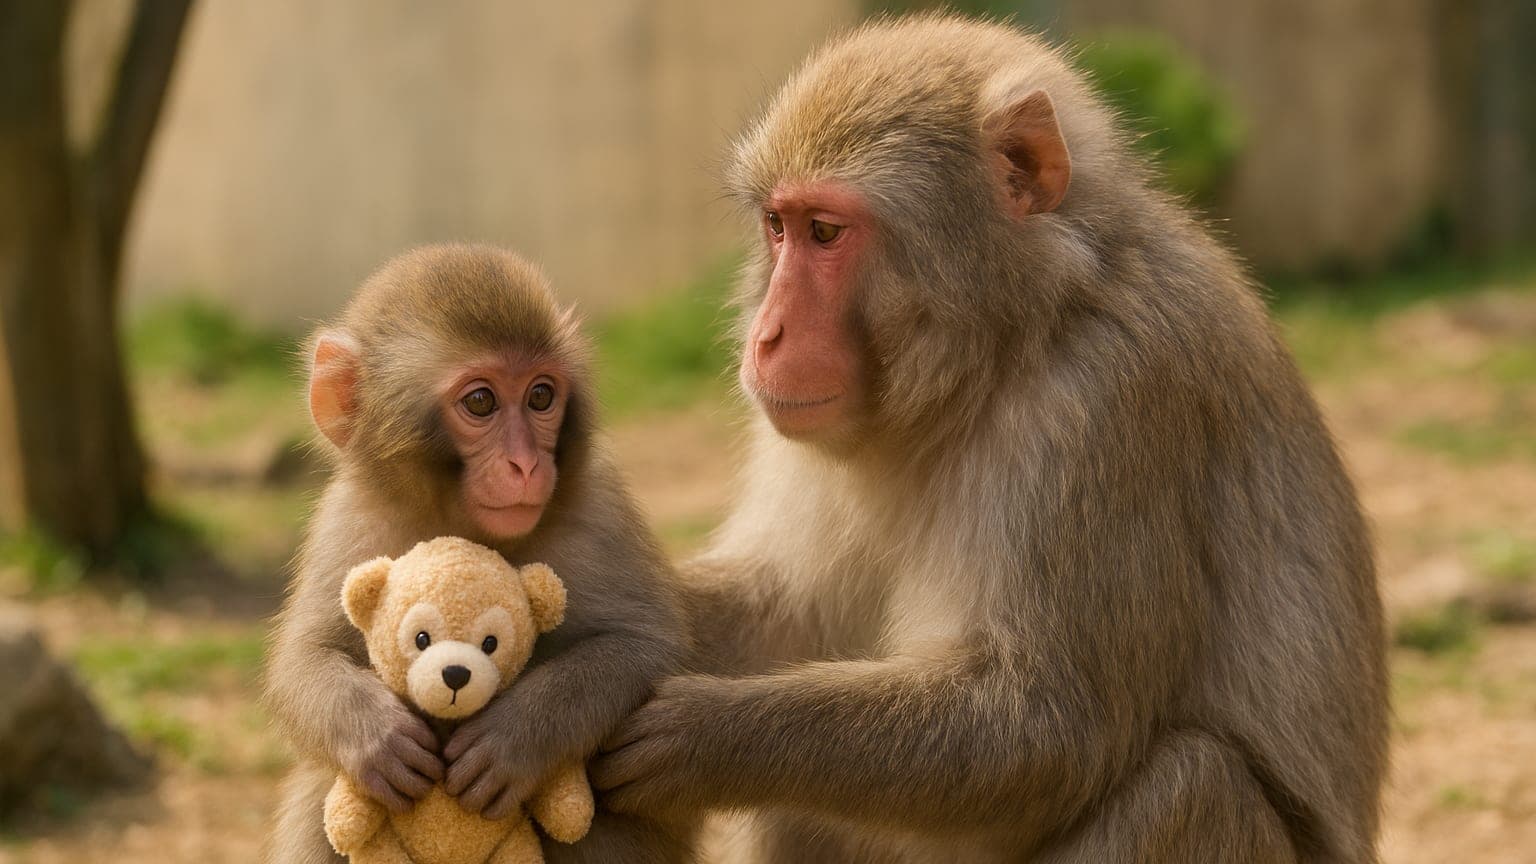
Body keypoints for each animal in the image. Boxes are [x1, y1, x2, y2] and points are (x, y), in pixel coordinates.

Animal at [263, 244, 690, 863]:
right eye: (482, 401)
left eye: (541, 396)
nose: (526, 465)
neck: (457, 524)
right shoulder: (347, 522)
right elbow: (303, 657)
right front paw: (375, 735)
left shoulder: (599, 510)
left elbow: (647, 647)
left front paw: (516, 738)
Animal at [591, 15, 1387, 864]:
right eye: (777, 226)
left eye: (826, 232)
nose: (765, 336)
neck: (1014, 337)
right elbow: (789, 611)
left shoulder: (1103, 402)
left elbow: (1050, 729)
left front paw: (704, 738)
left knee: (1194, 783)